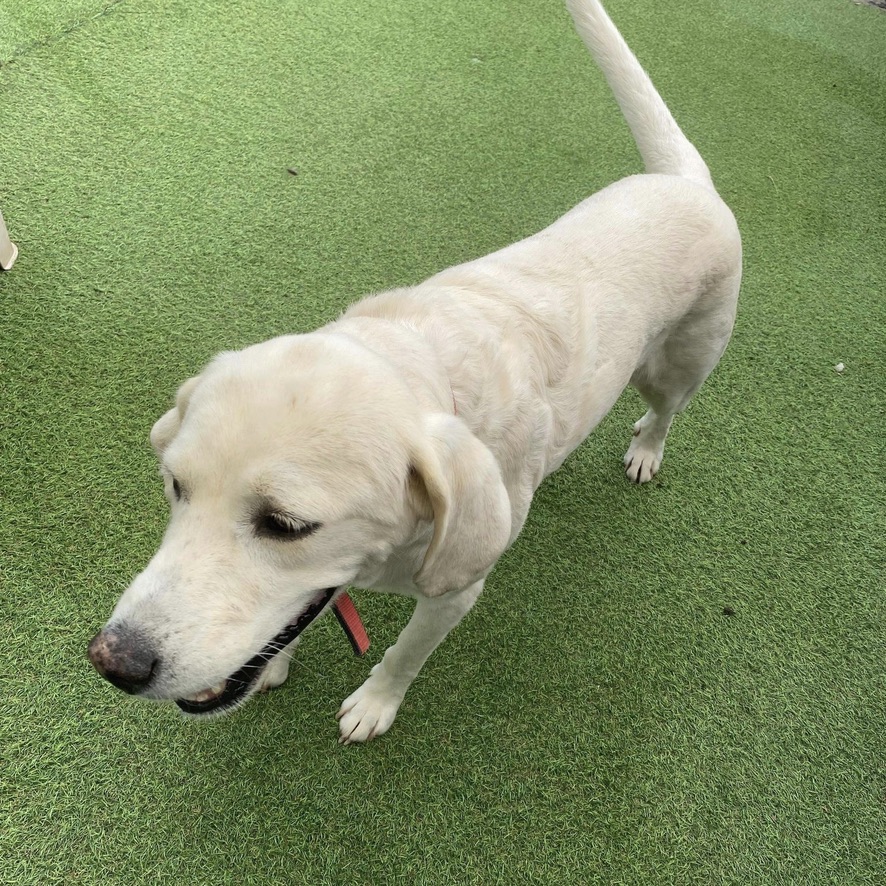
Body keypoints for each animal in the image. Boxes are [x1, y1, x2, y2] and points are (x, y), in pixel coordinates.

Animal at [90, 0, 744, 744]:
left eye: (285, 526)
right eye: (176, 486)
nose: (113, 661)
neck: (422, 365)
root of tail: (684, 180)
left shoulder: (455, 593)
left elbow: (404, 655)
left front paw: (375, 705)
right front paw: (276, 661)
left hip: (679, 362)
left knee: (665, 410)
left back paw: (645, 450)